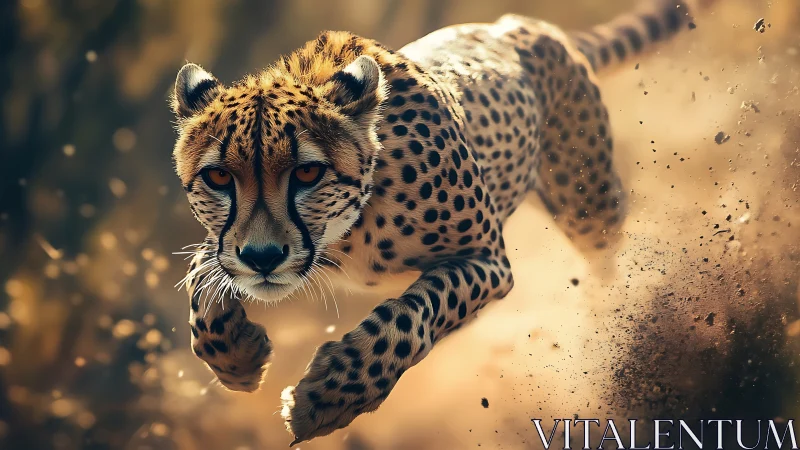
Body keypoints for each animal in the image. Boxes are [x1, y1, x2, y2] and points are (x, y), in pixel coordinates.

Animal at [171, 0, 713, 444]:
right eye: (218, 176)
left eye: (307, 172)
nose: (262, 258)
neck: (347, 230)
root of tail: (520, 24)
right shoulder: (223, 247)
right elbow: (201, 280)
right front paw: (236, 358)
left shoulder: (488, 260)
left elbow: (413, 314)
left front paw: (329, 396)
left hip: (588, 201)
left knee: (608, 261)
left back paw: (616, 328)